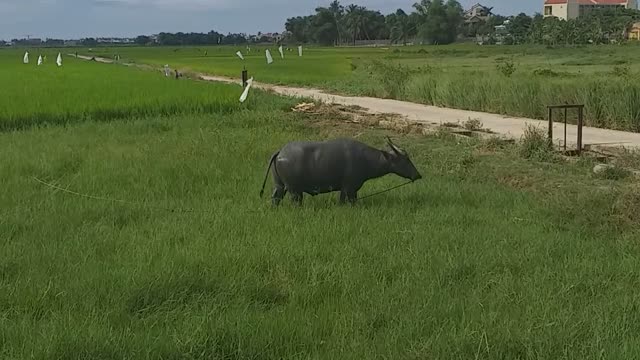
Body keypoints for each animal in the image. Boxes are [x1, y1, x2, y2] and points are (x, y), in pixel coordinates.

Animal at [258, 137, 422, 207]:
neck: (366, 159)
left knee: (275, 198)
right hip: (294, 190)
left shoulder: (346, 190)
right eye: (405, 159)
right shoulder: (349, 189)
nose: (418, 175)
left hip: (279, 186)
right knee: (295, 202)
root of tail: (280, 152)